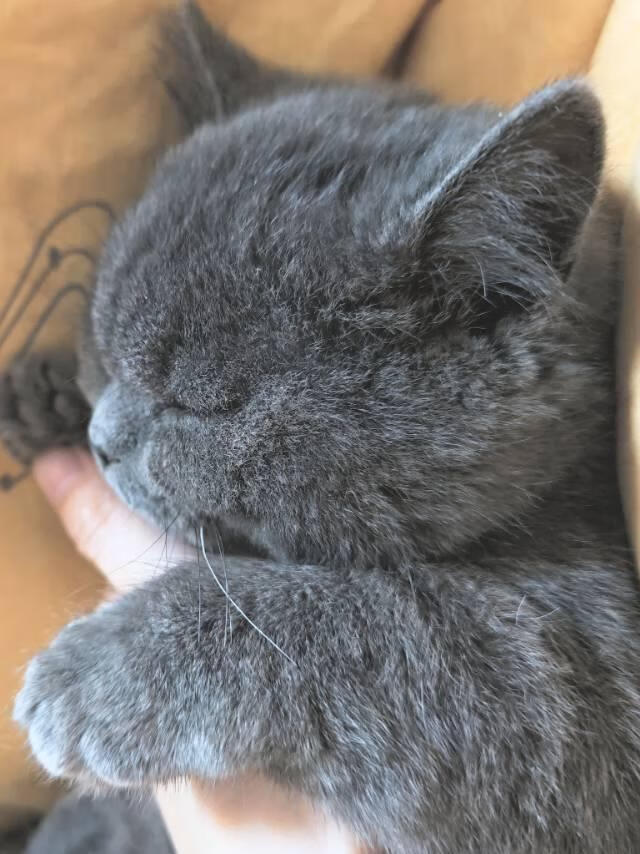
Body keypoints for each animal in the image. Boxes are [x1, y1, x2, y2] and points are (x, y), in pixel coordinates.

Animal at [2, 2, 640, 851]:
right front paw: (41, 396)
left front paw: (100, 675)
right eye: (103, 348)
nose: (103, 442)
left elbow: (364, 621)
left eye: (205, 404)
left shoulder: (590, 696)